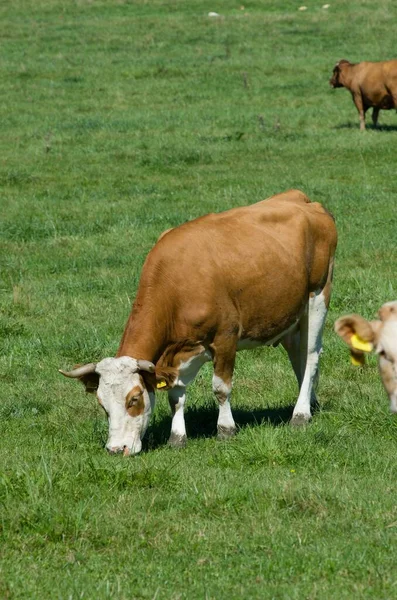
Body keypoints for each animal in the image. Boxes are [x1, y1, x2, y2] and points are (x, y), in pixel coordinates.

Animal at [60, 190, 336, 458]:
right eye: (102, 404)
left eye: (134, 399)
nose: (117, 450)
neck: (176, 282)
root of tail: (302, 199)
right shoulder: (173, 357)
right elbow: (175, 396)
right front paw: (177, 437)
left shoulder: (226, 337)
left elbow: (221, 388)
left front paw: (226, 429)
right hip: (290, 314)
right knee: (298, 356)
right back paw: (310, 403)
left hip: (318, 295)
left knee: (311, 355)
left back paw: (300, 414)